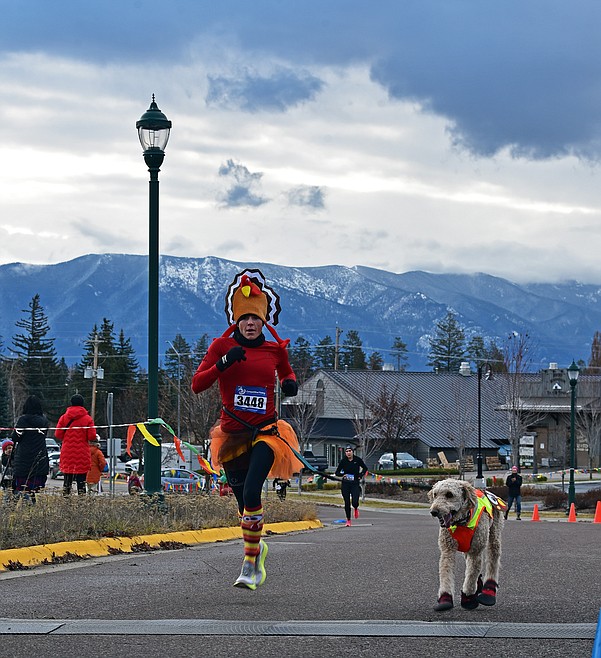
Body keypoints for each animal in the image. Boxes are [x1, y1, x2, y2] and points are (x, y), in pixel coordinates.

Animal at [426, 476, 506, 608]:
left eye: (449, 494)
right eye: (435, 494)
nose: (434, 512)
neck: (462, 521)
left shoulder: (476, 551)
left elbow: (471, 574)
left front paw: (468, 597)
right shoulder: (447, 550)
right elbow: (446, 572)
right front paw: (445, 598)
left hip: (494, 535)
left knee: (493, 558)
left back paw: (489, 591)